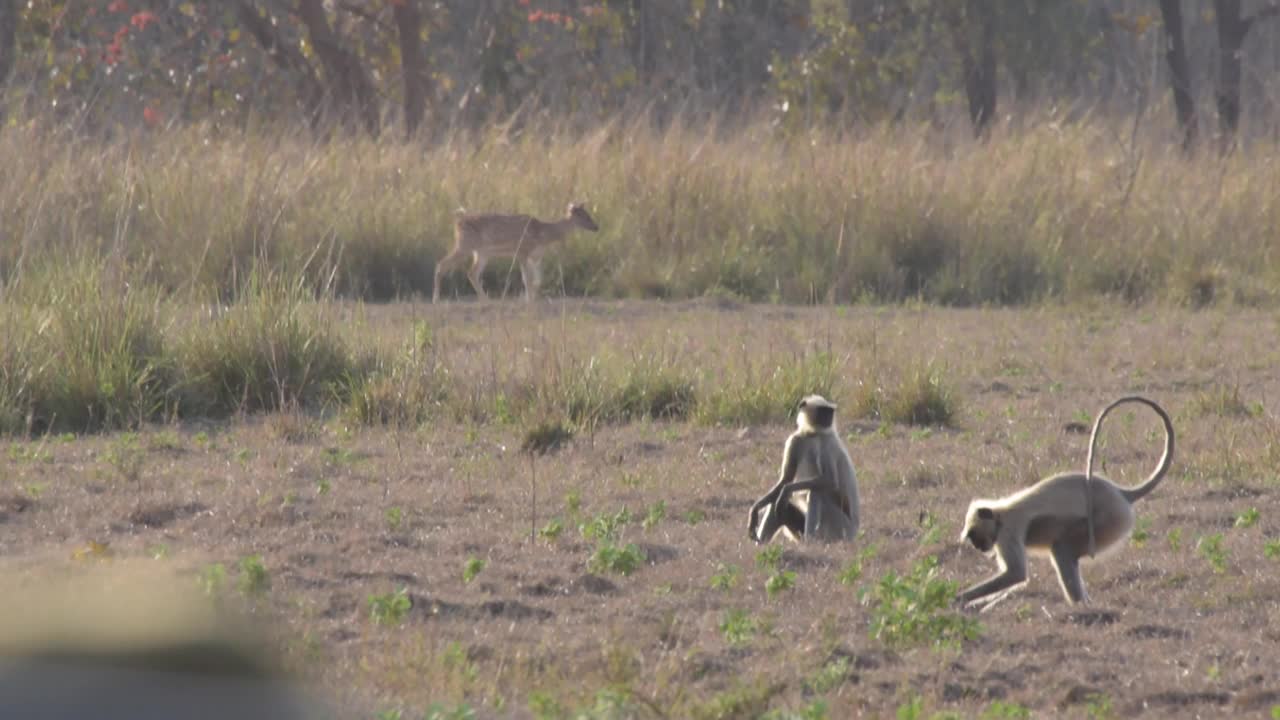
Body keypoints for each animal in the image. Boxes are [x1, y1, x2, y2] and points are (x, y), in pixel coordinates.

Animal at [435, 203, 599, 301]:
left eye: (588, 214)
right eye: (584, 216)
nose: (596, 227)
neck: (543, 234)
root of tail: (457, 223)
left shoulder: (536, 257)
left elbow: (538, 280)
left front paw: (532, 298)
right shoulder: (522, 252)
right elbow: (527, 279)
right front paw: (528, 300)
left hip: (481, 253)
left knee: (472, 273)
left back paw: (486, 299)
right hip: (464, 246)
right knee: (441, 265)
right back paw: (436, 299)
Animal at [747, 394, 860, 540]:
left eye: (829, 411)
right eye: (824, 411)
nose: (829, 418)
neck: (811, 434)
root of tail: (855, 532)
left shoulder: (825, 443)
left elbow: (829, 481)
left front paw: (787, 489)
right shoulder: (795, 439)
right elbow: (786, 479)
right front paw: (754, 510)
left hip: (841, 529)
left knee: (816, 491)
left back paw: (809, 541)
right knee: (777, 501)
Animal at [962, 394, 1172, 607]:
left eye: (975, 535)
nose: (978, 547)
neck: (1000, 514)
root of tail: (1120, 492)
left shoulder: (1008, 531)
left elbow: (1016, 574)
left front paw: (959, 600)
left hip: (1108, 520)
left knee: (1061, 550)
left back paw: (1080, 606)